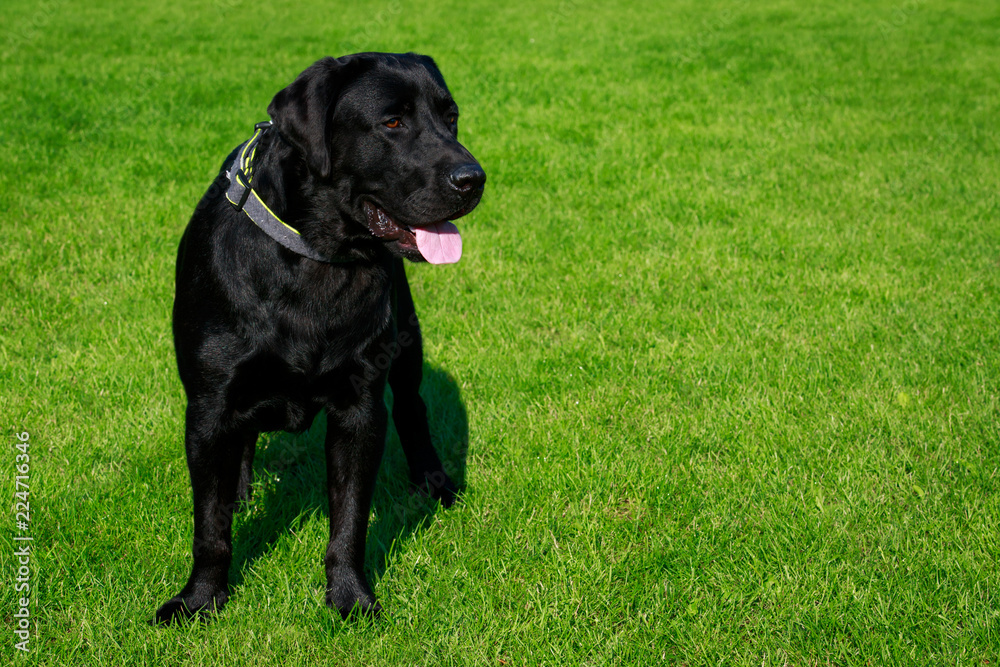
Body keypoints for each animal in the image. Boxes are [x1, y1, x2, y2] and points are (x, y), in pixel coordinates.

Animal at [152, 52, 484, 628]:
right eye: (392, 122)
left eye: (451, 118)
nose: (474, 179)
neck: (316, 260)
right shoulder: (209, 407)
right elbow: (210, 527)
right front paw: (198, 600)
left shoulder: (360, 407)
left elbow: (349, 519)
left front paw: (350, 597)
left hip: (406, 339)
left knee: (412, 406)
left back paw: (433, 482)